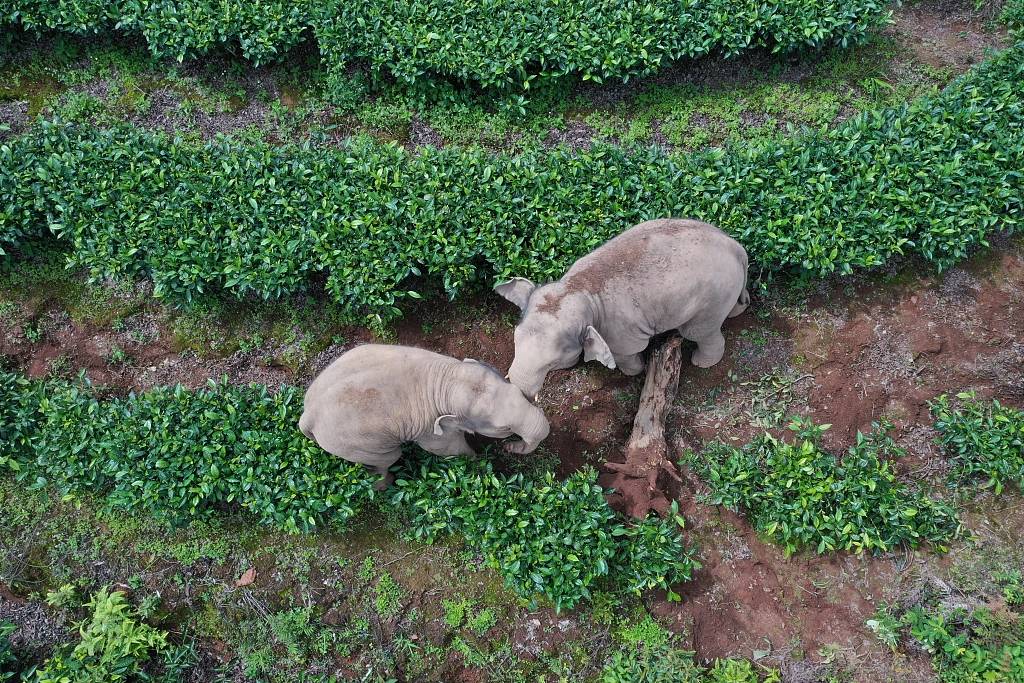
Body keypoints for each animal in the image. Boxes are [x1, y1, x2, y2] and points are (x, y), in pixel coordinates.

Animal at [299, 344, 552, 489]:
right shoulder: (430, 429)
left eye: (516, 390)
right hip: (357, 445)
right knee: (388, 458)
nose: (510, 447)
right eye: (504, 429)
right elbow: (447, 449)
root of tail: (307, 415)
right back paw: (386, 484)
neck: (449, 377)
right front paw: (476, 460)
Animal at [491, 219, 749, 401]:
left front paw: (636, 371)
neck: (579, 286)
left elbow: (628, 353)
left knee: (699, 332)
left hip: (711, 301)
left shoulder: (620, 332)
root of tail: (737, 248)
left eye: (552, 363)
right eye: (515, 339)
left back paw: (701, 362)